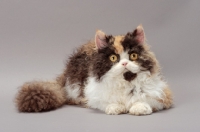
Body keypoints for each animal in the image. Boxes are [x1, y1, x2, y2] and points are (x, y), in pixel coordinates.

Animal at [15, 25, 173, 115]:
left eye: (133, 56)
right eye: (113, 58)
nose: (124, 63)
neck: (125, 83)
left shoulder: (164, 95)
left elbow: (146, 99)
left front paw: (139, 107)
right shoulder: (92, 96)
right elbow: (105, 103)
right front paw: (116, 107)